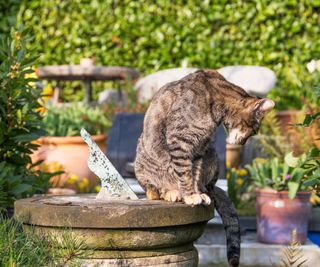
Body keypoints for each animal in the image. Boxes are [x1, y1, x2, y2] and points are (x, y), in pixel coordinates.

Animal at [134, 69, 274, 267]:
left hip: (212, 155)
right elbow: (185, 173)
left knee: (209, 186)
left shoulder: (200, 148)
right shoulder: (180, 140)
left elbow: (194, 174)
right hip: (143, 166)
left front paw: (197, 193)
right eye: (254, 130)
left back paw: (203, 192)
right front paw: (190, 195)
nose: (243, 143)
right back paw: (171, 192)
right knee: (153, 191)